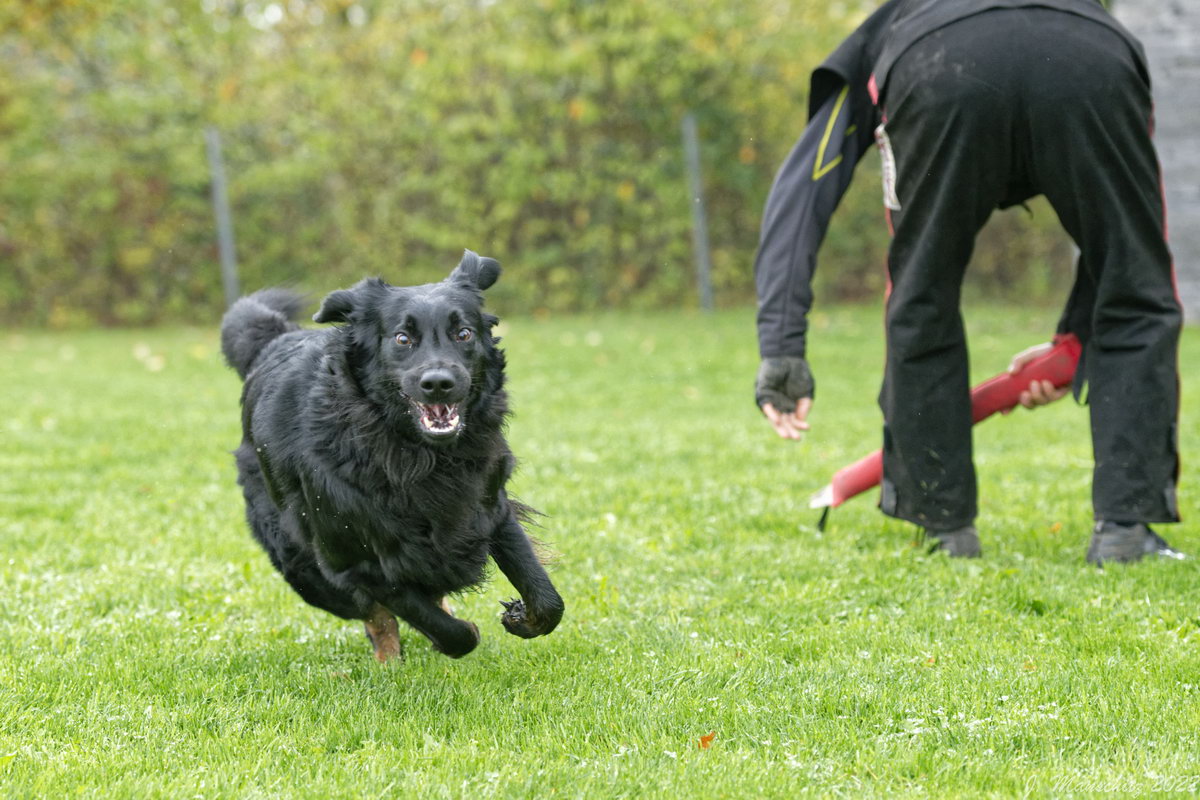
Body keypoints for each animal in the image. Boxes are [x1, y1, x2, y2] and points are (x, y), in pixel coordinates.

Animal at [219, 253, 561, 662]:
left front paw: (522, 616)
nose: (439, 383)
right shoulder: (354, 560)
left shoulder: (489, 509)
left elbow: (547, 598)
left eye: (463, 334)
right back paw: (388, 658)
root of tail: (274, 340)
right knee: (376, 615)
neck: (421, 453)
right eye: (402, 338)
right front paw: (456, 633)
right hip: (300, 564)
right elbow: (448, 630)